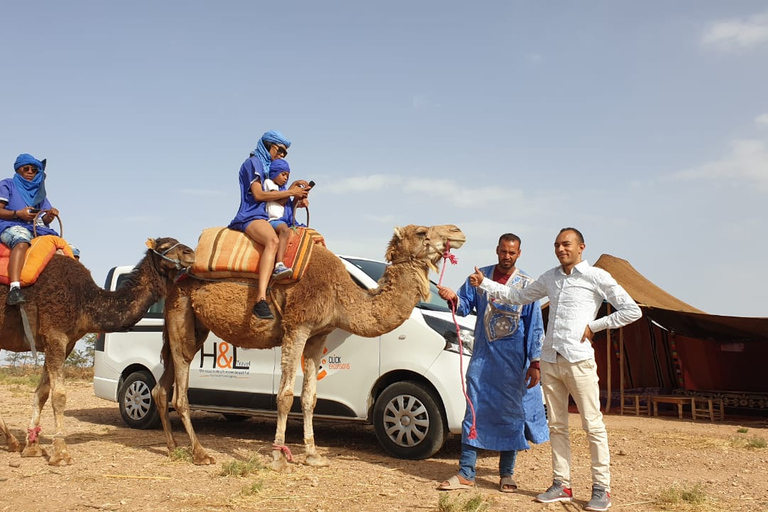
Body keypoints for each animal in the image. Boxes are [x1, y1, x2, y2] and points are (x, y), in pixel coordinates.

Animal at [0, 238, 192, 466]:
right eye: (164, 247)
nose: (190, 252)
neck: (84, 299)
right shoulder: (55, 333)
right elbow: (59, 395)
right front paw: (61, 452)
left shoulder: (67, 341)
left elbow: (42, 392)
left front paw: (33, 447)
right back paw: (12, 440)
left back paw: (13, 441)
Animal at [154, 222, 464, 470]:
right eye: (422, 231)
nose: (457, 231)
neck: (339, 295)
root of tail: (178, 277)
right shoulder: (297, 327)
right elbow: (285, 396)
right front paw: (278, 458)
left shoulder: (318, 336)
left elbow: (309, 398)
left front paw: (314, 455)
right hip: (181, 312)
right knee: (180, 390)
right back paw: (200, 453)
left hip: (194, 327)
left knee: (163, 384)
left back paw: (172, 446)